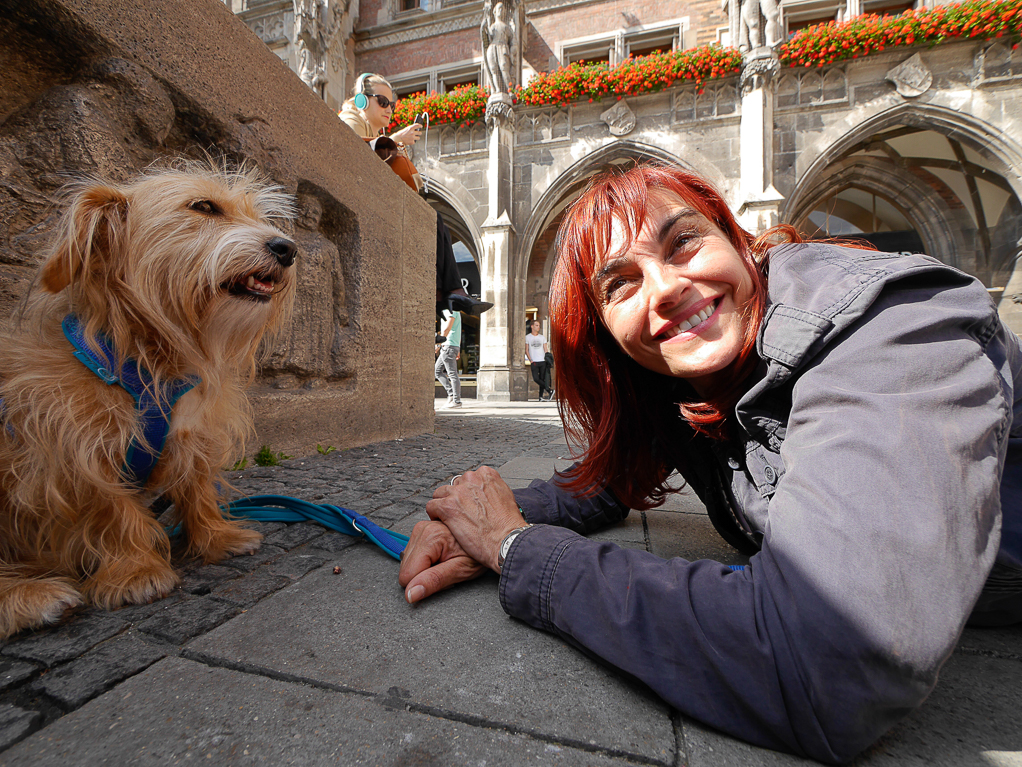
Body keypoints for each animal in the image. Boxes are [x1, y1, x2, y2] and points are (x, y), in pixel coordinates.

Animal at [0, 163, 300, 642]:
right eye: (204, 207)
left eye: (257, 215)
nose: (286, 248)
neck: (150, 357)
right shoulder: (77, 450)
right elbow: (112, 509)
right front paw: (137, 571)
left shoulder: (192, 435)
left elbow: (197, 488)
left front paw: (218, 537)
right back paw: (31, 596)